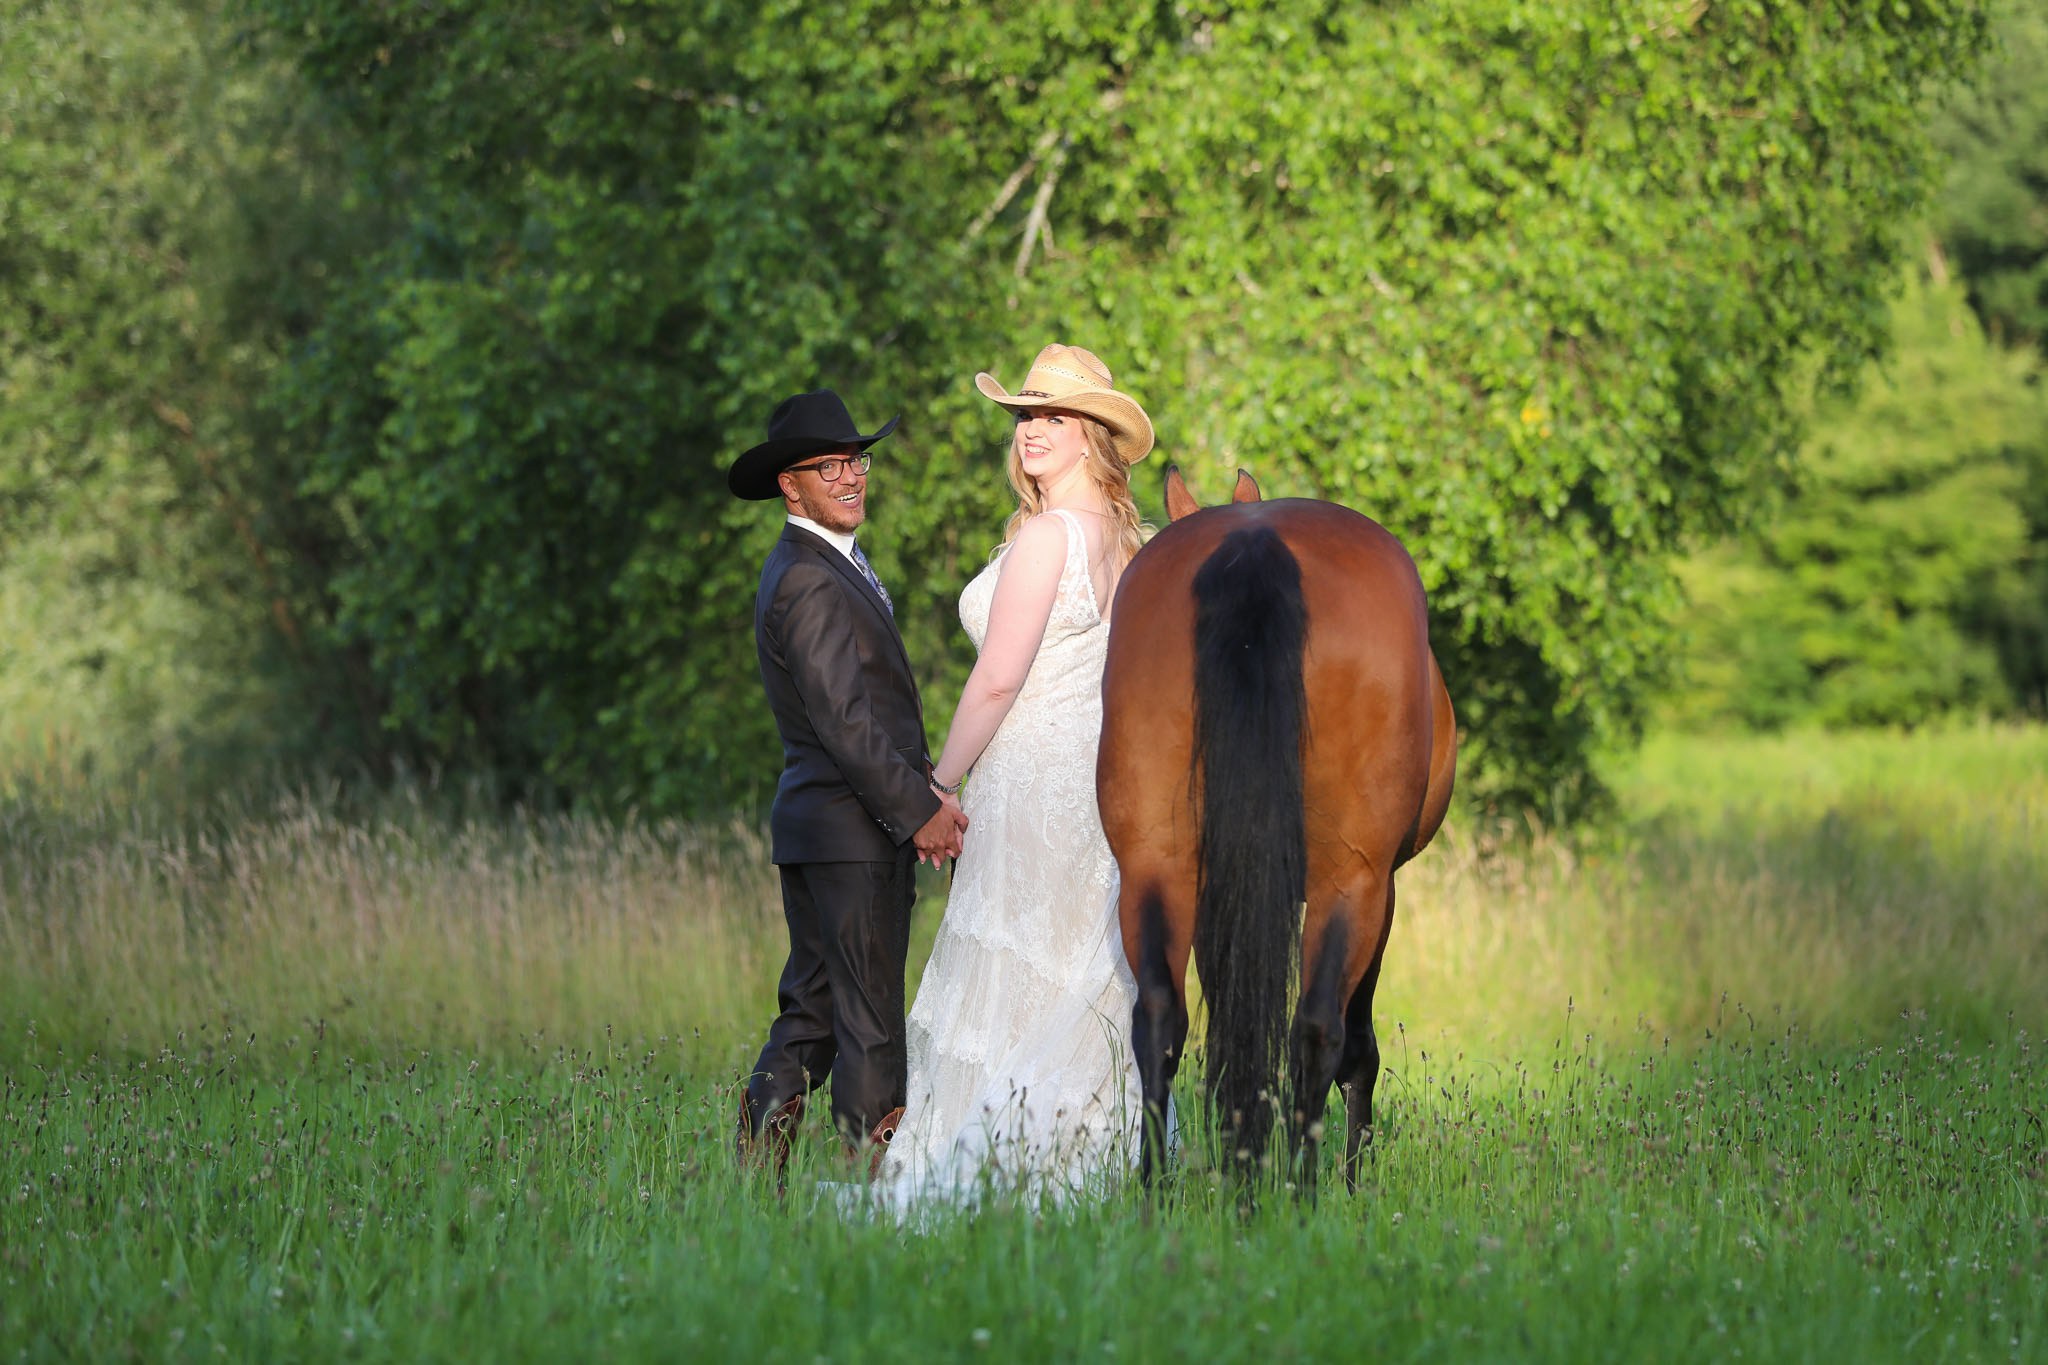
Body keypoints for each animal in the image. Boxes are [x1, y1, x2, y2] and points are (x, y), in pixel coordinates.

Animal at [1097, 467, 1457, 1192]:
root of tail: (1252, 541)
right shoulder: (1381, 886)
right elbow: (1357, 1042)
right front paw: (1350, 1181)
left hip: (1155, 864)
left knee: (1160, 1019)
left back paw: (1160, 1193)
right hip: (1351, 882)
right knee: (1319, 1028)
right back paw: (1301, 1194)